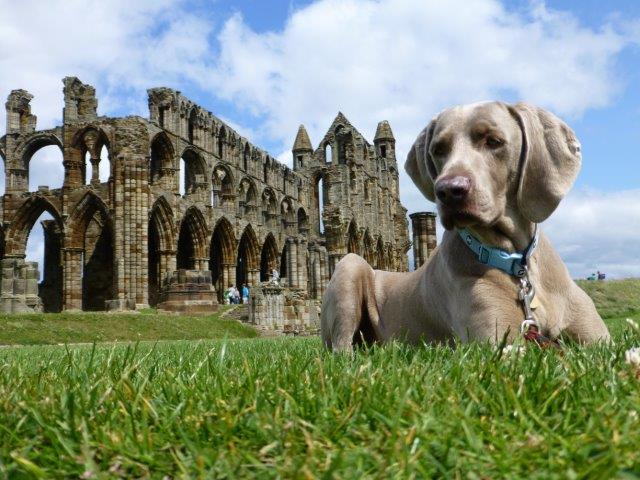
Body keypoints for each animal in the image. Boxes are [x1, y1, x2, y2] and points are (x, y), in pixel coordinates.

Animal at [322, 101, 608, 350]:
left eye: (493, 141)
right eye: (438, 150)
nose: (448, 191)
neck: (516, 262)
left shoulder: (601, 342)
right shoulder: (499, 345)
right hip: (350, 266)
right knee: (341, 351)